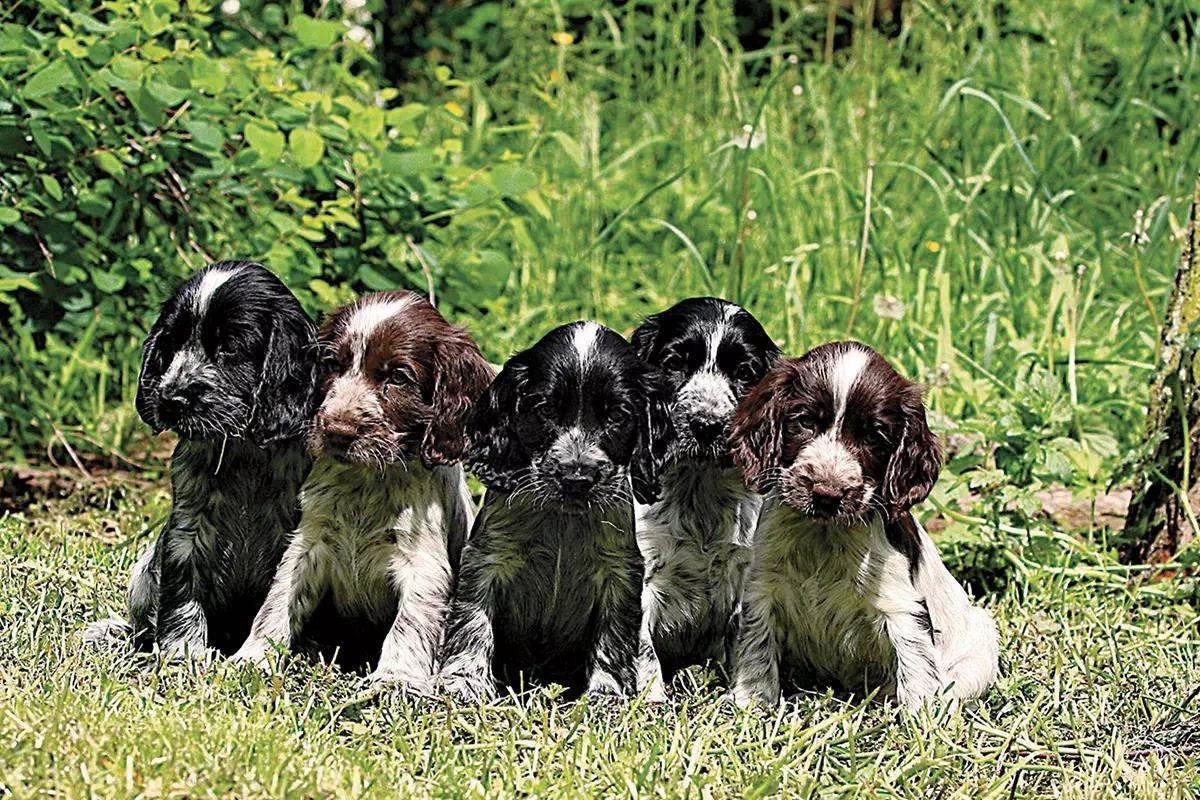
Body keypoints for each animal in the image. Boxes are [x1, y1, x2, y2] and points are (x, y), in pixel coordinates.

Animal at [83, 261, 319, 657]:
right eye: (173, 343)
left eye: (229, 347)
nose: (171, 399)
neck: (244, 450)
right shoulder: (186, 528)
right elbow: (182, 594)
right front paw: (183, 653)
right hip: (143, 573)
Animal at [229, 291, 492, 690]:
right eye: (332, 365)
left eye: (398, 377)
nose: (337, 432)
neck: (368, 481)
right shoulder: (309, 543)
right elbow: (278, 601)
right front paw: (253, 658)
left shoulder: (423, 563)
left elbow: (408, 625)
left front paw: (396, 680)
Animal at [439, 321, 667, 705]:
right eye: (545, 409)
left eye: (617, 416)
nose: (577, 479)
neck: (563, 522)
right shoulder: (486, 558)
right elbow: (472, 620)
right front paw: (463, 680)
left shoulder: (620, 573)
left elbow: (614, 637)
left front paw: (607, 693)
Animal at [633, 297, 782, 695]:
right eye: (673, 363)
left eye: (745, 372)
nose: (706, 425)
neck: (699, 484)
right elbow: (642, 647)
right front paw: (650, 699)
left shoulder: (746, 573)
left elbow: (752, 641)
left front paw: (749, 699)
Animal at [724, 340, 998, 710]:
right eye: (804, 421)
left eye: (873, 437)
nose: (826, 494)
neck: (823, 533)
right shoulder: (762, 588)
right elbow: (757, 647)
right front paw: (752, 703)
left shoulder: (903, 606)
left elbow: (916, 667)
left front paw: (920, 718)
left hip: (982, 646)